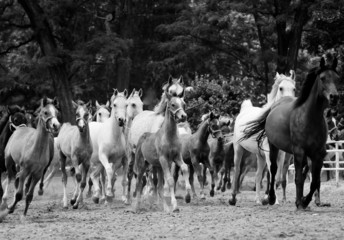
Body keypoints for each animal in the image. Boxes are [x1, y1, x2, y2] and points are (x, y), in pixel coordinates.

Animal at [228, 70, 296, 205]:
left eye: (294, 89)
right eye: (281, 88)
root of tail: (245, 109)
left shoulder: (280, 154)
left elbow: (277, 177)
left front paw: (268, 198)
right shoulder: (269, 152)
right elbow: (272, 172)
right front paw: (271, 199)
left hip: (260, 156)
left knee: (258, 175)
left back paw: (258, 200)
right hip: (238, 149)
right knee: (237, 171)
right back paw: (233, 198)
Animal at [243, 57, 340, 209]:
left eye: (337, 78)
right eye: (323, 78)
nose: (334, 97)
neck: (309, 117)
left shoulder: (318, 154)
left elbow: (314, 181)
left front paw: (305, 200)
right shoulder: (299, 152)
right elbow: (298, 178)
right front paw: (300, 202)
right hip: (273, 147)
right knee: (273, 170)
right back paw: (270, 198)